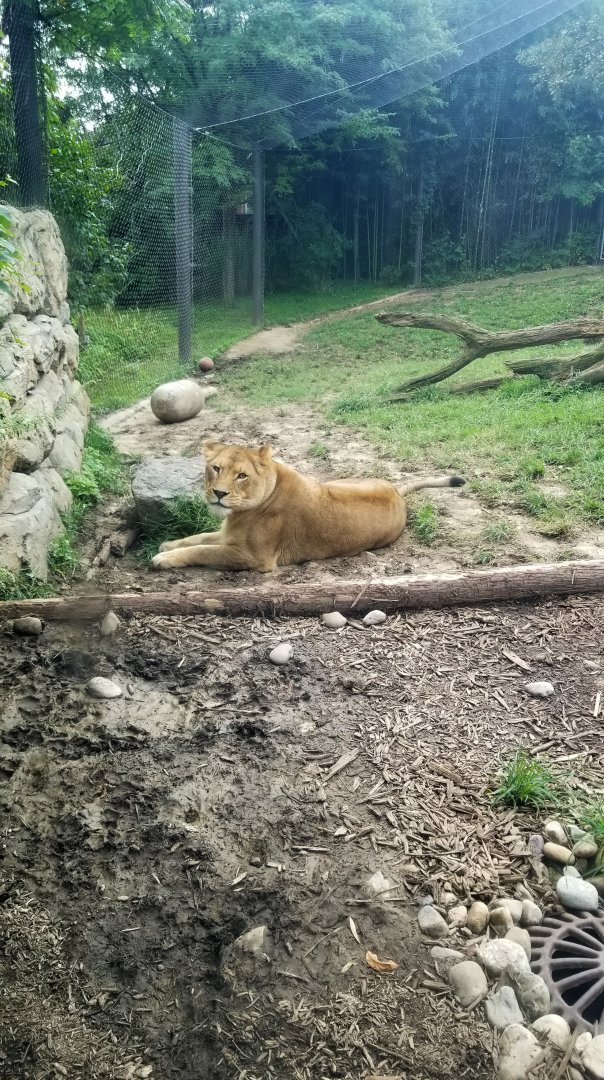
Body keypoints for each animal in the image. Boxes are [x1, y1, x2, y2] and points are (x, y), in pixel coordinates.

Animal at [151, 440, 466, 572]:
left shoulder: (254, 558)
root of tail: (396, 492)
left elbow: (204, 550)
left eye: (242, 475)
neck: (241, 513)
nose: (218, 493)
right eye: (216, 468)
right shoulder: (229, 535)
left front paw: (163, 558)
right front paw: (169, 544)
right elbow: (199, 538)